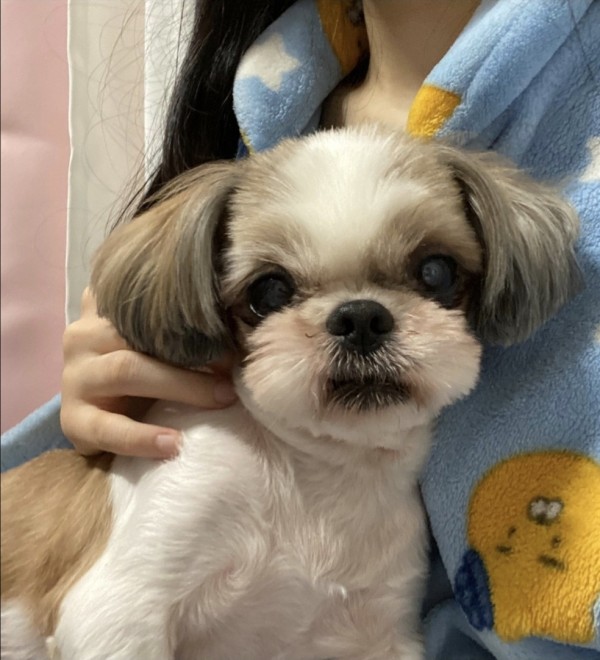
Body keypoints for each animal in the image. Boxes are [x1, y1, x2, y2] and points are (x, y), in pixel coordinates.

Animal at [1, 126, 581, 660]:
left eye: (436, 271)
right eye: (269, 290)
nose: (360, 317)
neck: (318, 474)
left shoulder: (378, 629)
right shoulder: (123, 602)